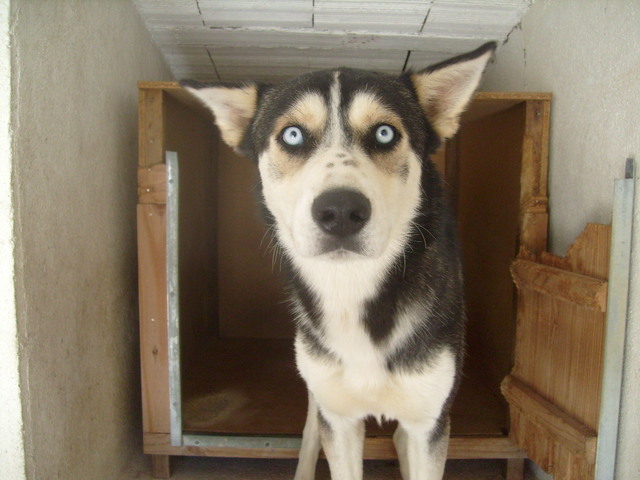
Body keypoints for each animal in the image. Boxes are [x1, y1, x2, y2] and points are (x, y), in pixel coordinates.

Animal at [182, 42, 498, 480]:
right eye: (292, 135)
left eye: (385, 133)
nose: (341, 211)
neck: (352, 286)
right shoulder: (339, 417)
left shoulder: (428, 421)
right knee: (311, 428)